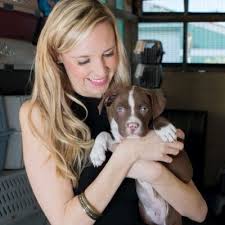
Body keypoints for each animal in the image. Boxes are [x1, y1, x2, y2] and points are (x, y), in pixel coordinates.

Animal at [90, 85, 192, 225]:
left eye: (144, 109)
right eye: (120, 109)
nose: (132, 125)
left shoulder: (184, 168)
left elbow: (156, 117)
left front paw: (164, 128)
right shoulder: (118, 144)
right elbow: (103, 133)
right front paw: (96, 153)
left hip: (173, 217)